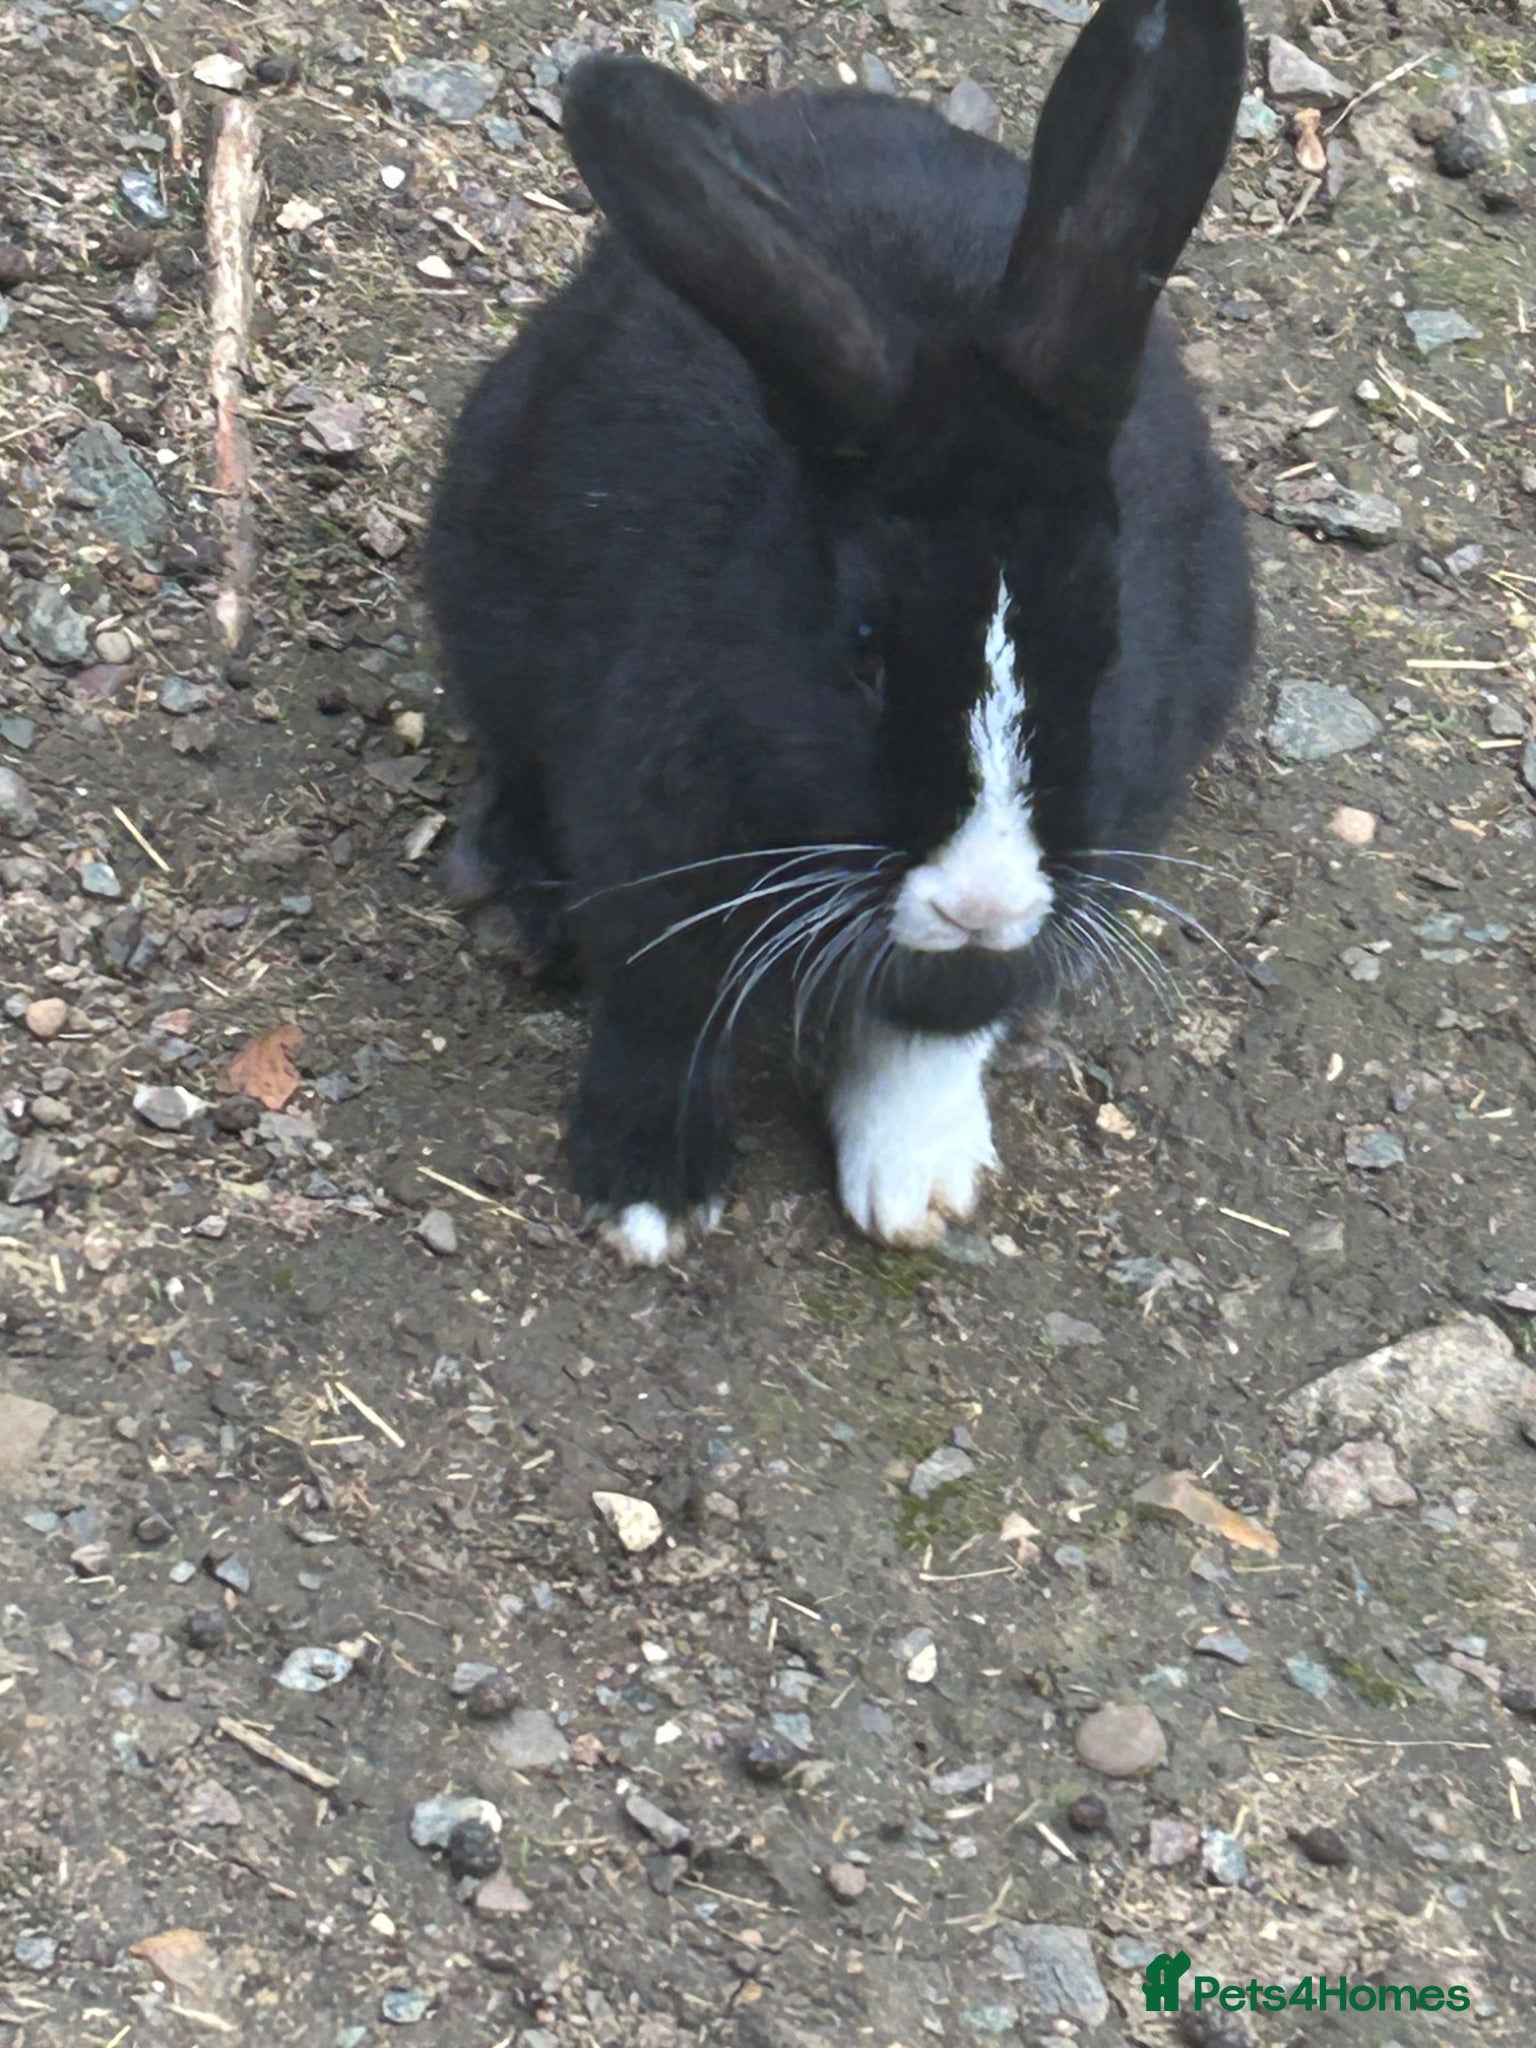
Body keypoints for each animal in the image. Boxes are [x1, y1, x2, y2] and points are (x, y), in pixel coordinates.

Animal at [426, 0, 1255, 1265]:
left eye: (1109, 645)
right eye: (861, 649)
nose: (981, 902)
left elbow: (939, 1021)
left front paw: (919, 1184)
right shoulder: (651, 840)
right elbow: (661, 1005)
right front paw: (647, 1195)